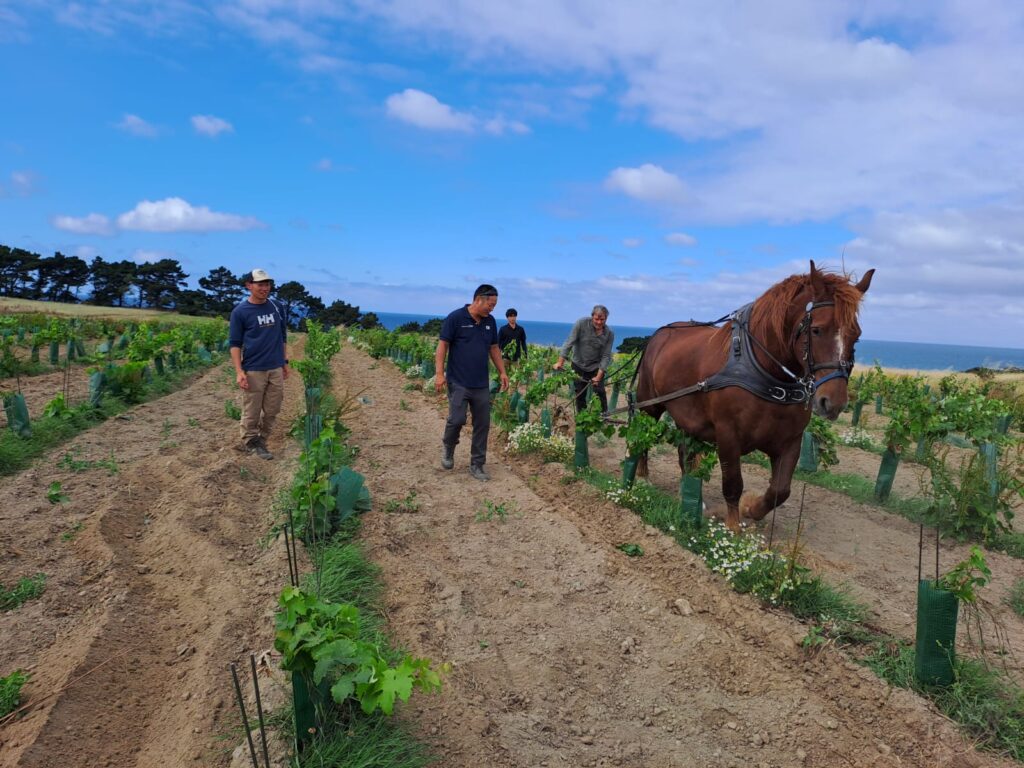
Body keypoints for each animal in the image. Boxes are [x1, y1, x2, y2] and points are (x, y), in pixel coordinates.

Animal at [634, 262, 876, 532]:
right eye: (816, 330)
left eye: (856, 335)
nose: (833, 403)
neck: (765, 373)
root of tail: (661, 333)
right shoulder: (728, 434)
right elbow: (733, 483)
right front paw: (733, 527)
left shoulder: (791, 440)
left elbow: (780, 491)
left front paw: (751, 508)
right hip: (649, 405)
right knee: (643, 436)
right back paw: (642, 479)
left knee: (685, 452)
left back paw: (690, 495)